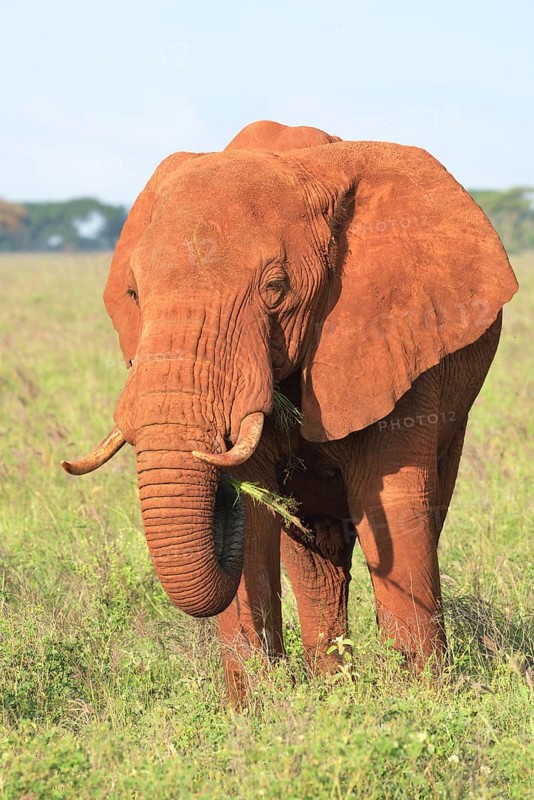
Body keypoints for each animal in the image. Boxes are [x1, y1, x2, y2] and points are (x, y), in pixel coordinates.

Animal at [62, 120, 518, 703]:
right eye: (135, 294)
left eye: (276, 289)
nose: (222, 487)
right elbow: (258, 527)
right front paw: (255, 713)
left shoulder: (401, 337)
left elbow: (391, 506)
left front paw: (421, 702)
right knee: (314, 553)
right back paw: (333, 686)